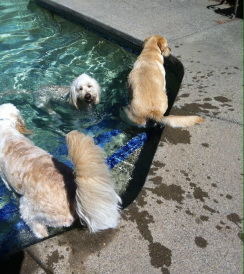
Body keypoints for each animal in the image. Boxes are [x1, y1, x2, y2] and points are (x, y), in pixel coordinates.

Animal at [0, 103, 120, 238]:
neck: (7, 132)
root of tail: (73, 194)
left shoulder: (4, 178)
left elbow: (11, 189)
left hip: (29, 210)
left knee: (39, 229)